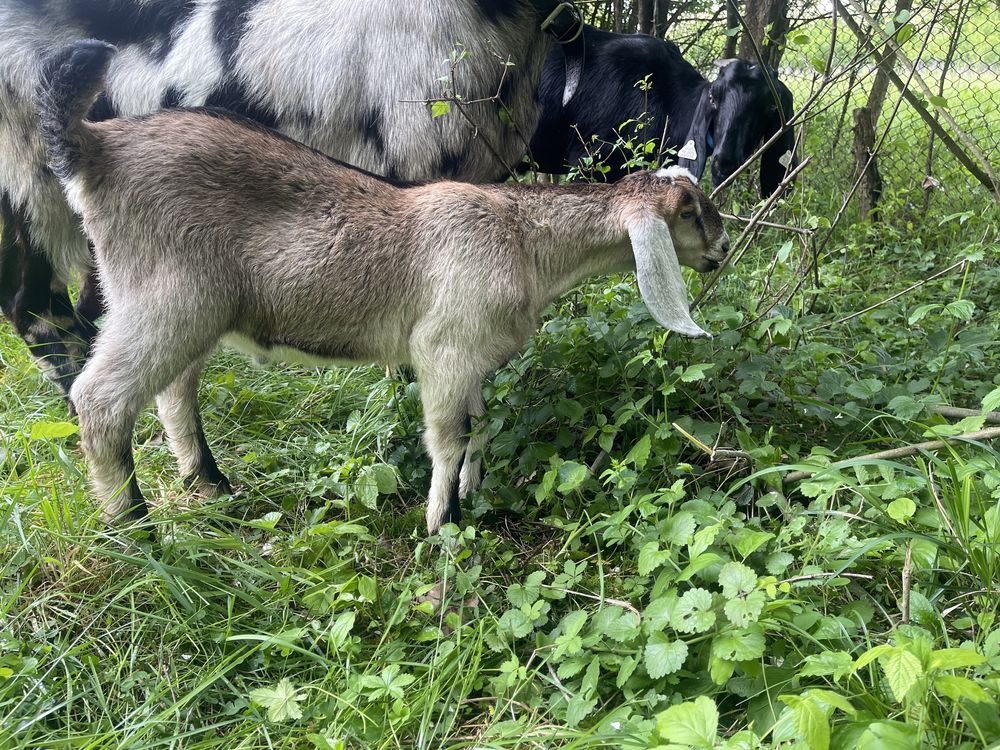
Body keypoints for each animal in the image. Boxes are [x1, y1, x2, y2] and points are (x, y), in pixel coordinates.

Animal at [43, 39, 732, 536]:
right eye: (690, 213)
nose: (724, 251)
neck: (521, 237)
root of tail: (94, 149)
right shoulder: (442, 349)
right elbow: (449, 438)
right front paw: (442, 526)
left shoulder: (473, 356)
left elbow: (481, 428)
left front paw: (473, 494)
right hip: (164, 300)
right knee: (100, 402)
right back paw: (135, 533)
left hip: (189, 311)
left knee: (174, 394)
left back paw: (210, 487)